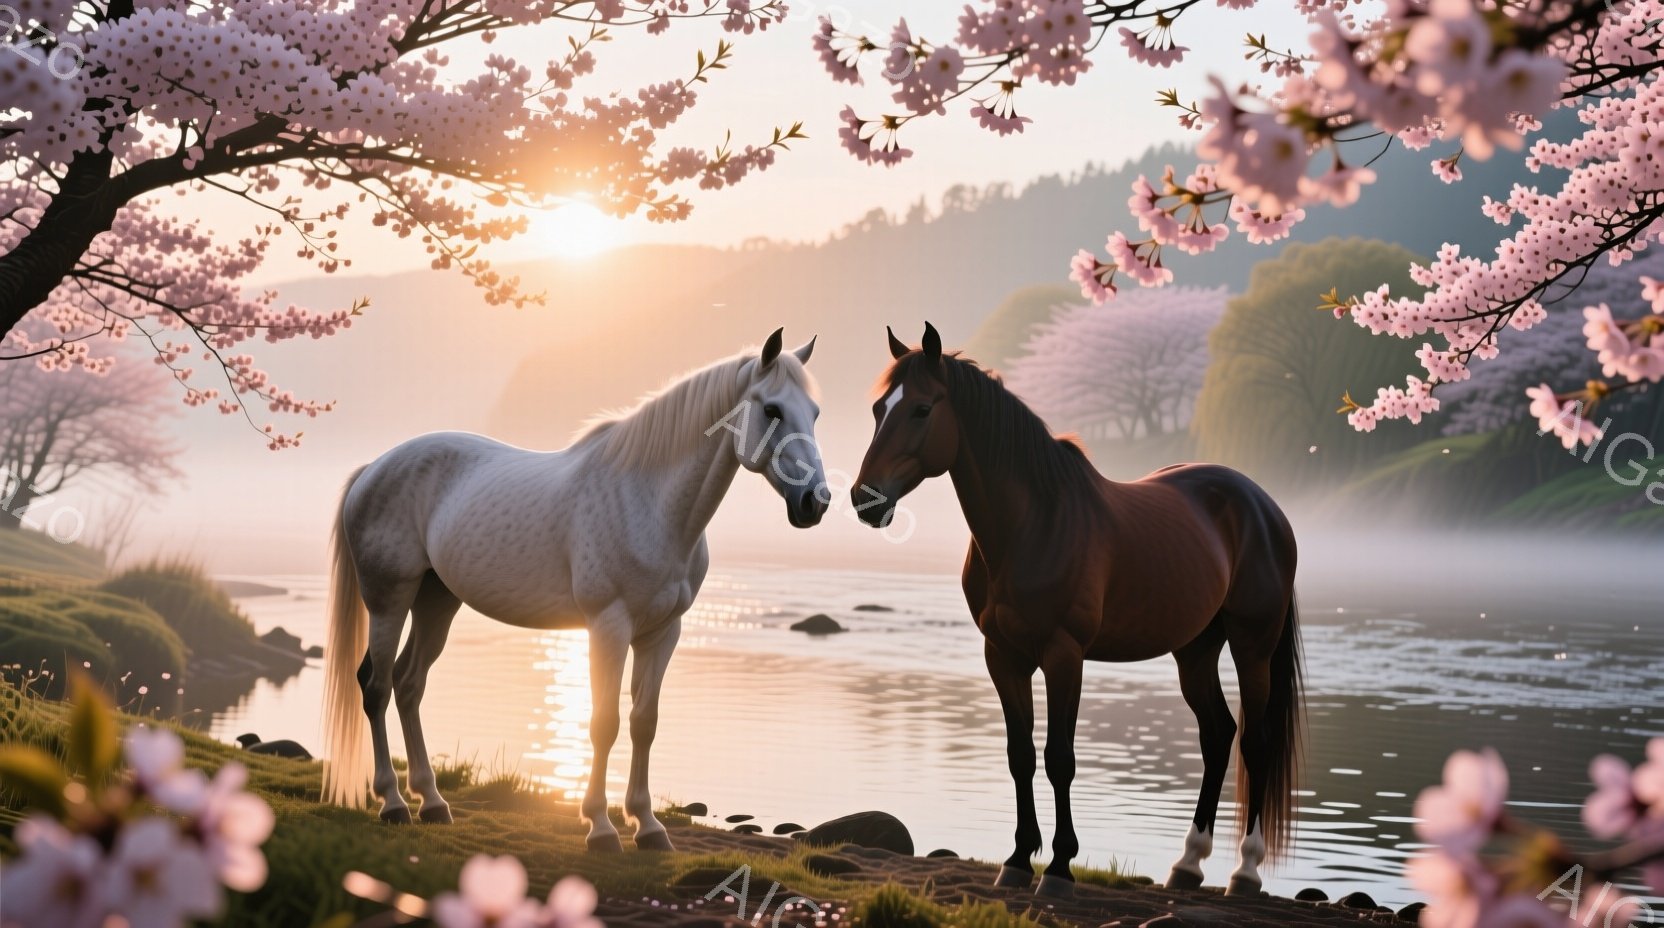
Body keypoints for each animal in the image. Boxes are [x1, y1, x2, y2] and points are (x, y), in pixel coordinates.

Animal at [320, 329, 827, 852]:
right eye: (772, 409)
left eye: (813, 413)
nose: (816, 501)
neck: (648, 502)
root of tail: (373, 470)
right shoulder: (608, 627)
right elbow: (604, 724)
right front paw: (601, 828)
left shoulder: (663, 632)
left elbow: (644, 722)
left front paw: (649, 827)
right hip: (389, 601)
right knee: (377, 687)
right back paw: (393, 803)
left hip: (437, 601)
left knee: (409, 685)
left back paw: (433, 803)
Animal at [853, 323, 1302, 900]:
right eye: (878, 408)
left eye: (922, 409)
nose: (865, 499)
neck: (1033, 524)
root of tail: (1264, 506)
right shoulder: (1004, 656)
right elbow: (1020, 755)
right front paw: (1018, 860)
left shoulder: (1064, 656)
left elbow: (1059, 759)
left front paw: (1060, 868)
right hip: (1195, 649)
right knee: (1217, 734)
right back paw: (1187, 864)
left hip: (1252, 645)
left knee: (1254, 742)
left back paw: (1244, 872)